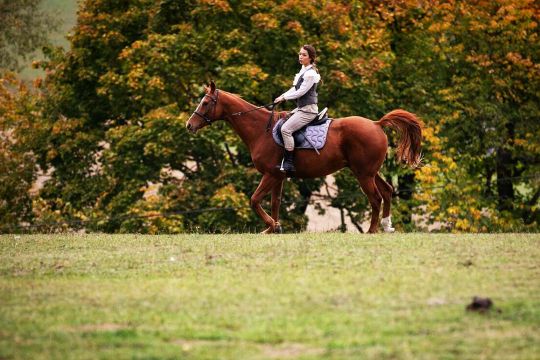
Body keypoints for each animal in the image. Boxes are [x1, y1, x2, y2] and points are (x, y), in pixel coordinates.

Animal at [188, 81, 424, 233]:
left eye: (206, 103)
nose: (189, 125)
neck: (261, 130)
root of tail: (376, 124)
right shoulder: (278, 177)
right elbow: (275, 203)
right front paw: (274, 228)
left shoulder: (270, 175)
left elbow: (254, 201)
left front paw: (272, 226)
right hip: (371, 172)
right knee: (387, 191)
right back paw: (386, 226)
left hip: (363, 174)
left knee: (375, 198)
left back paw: (372, 230)